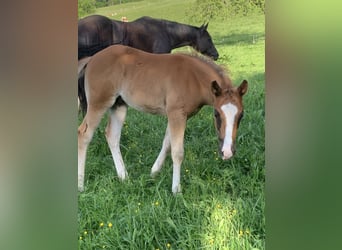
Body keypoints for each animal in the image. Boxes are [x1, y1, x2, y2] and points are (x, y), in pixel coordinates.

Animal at [78, 45, 247, 193]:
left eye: (241, 115)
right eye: (216, 114)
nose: (227, 152)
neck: (193, 78)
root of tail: (92, 58)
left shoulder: (177, 115)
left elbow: (167, 144)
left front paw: (153, 173)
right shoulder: (176, 113)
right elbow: (177, 152)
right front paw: (176, 190)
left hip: (118, 105)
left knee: (112, 136)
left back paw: (124, 177)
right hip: (99, 103)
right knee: (83, 134)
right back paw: (80, 185)